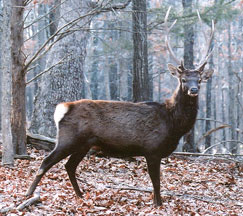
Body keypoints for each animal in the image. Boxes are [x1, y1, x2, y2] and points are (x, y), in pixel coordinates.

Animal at [26, 6, 215, 206]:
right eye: (183, 79)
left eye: (200, 80)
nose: (193, 89)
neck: (172, 123)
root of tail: (63, 107)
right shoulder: (152, 149)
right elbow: (156, 182)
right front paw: (158, 205)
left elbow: (155, 184)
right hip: (68, 138)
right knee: (46, 162)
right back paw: (29, 194)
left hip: (84, 143)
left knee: (69, 165)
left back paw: (80, 195)